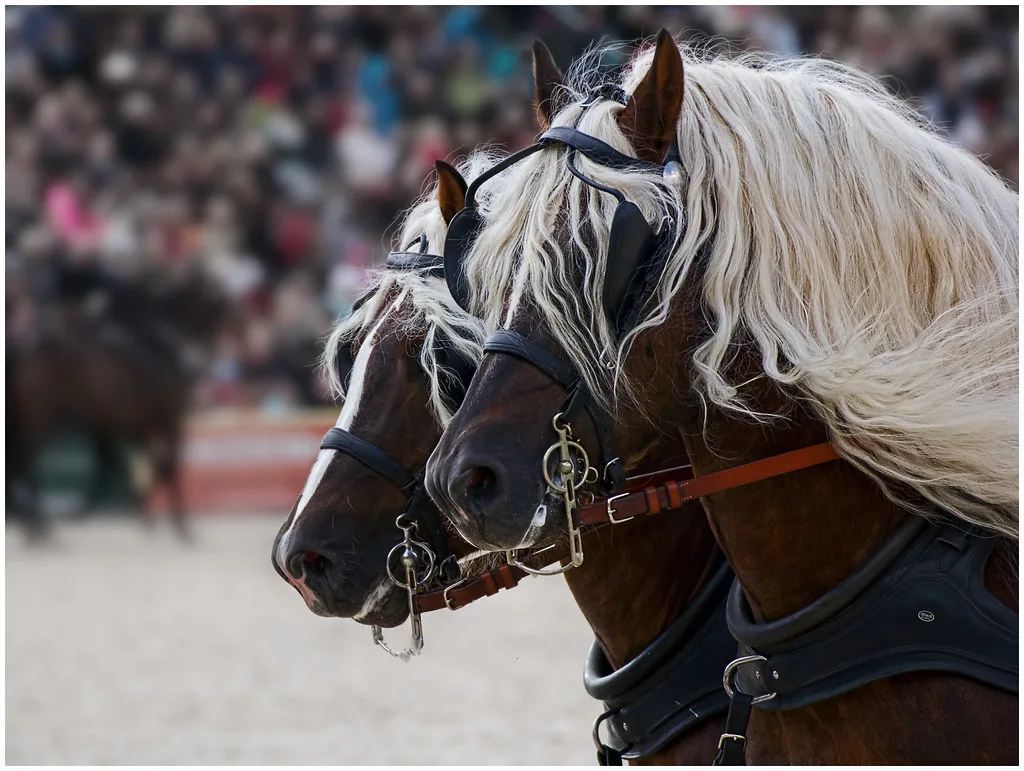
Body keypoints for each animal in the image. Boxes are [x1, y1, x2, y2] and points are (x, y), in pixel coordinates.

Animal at [7, 264, 230, 542]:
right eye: (217, 299)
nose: (213, 349)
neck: (160, 344)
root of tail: (28, 347)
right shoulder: (170, 419)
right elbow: (169, 467)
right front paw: (181, 527)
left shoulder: (140, 425)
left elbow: (153, 466)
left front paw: (146, 517)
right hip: (43, 420)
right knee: (27, 465)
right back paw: (42, 528)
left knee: (21, 466)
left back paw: (35, 527)